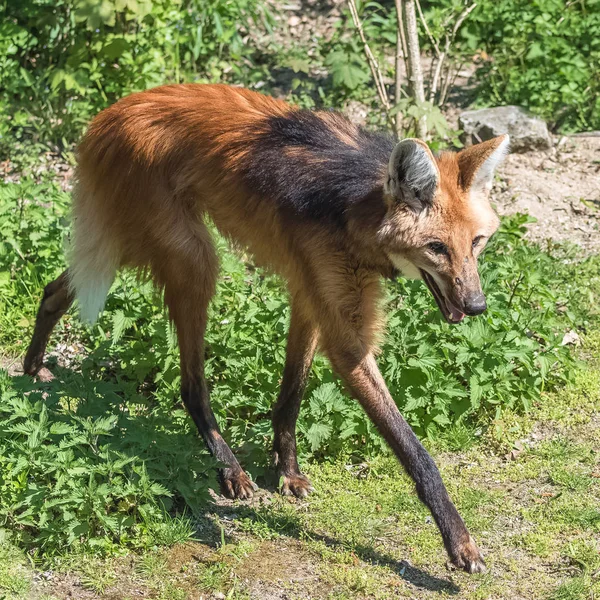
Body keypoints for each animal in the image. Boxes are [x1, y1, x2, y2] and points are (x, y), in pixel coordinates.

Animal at [24, 83, 510, 572]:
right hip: (192, 257)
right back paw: (230, 469)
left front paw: (288, 472)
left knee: (56, 288)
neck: (355, 208)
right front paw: (460, 544)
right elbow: (416, 452)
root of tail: (109, 114)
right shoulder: (344, 336)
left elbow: (291, 396)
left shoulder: (309, 293)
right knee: (190, 383)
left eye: (476, 243)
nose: (476, 306)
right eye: (437, 248)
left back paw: (32, 367)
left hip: (132, 241)